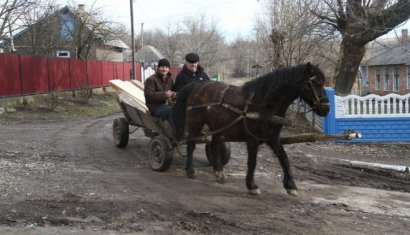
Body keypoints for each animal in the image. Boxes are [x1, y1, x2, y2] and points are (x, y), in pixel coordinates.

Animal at [170, 63, 330, 196]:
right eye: (316, 83)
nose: (327, 109)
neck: (264, 104)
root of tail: (196, 86)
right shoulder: (253, 139)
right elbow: (252, 162)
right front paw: (252, 186)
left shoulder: (273, 138)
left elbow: (284, 159)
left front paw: (291, 186)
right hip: (195, 124)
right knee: (191, 145)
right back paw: (190, 170)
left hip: (218, 127)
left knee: (214, 146)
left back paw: (219, 172)